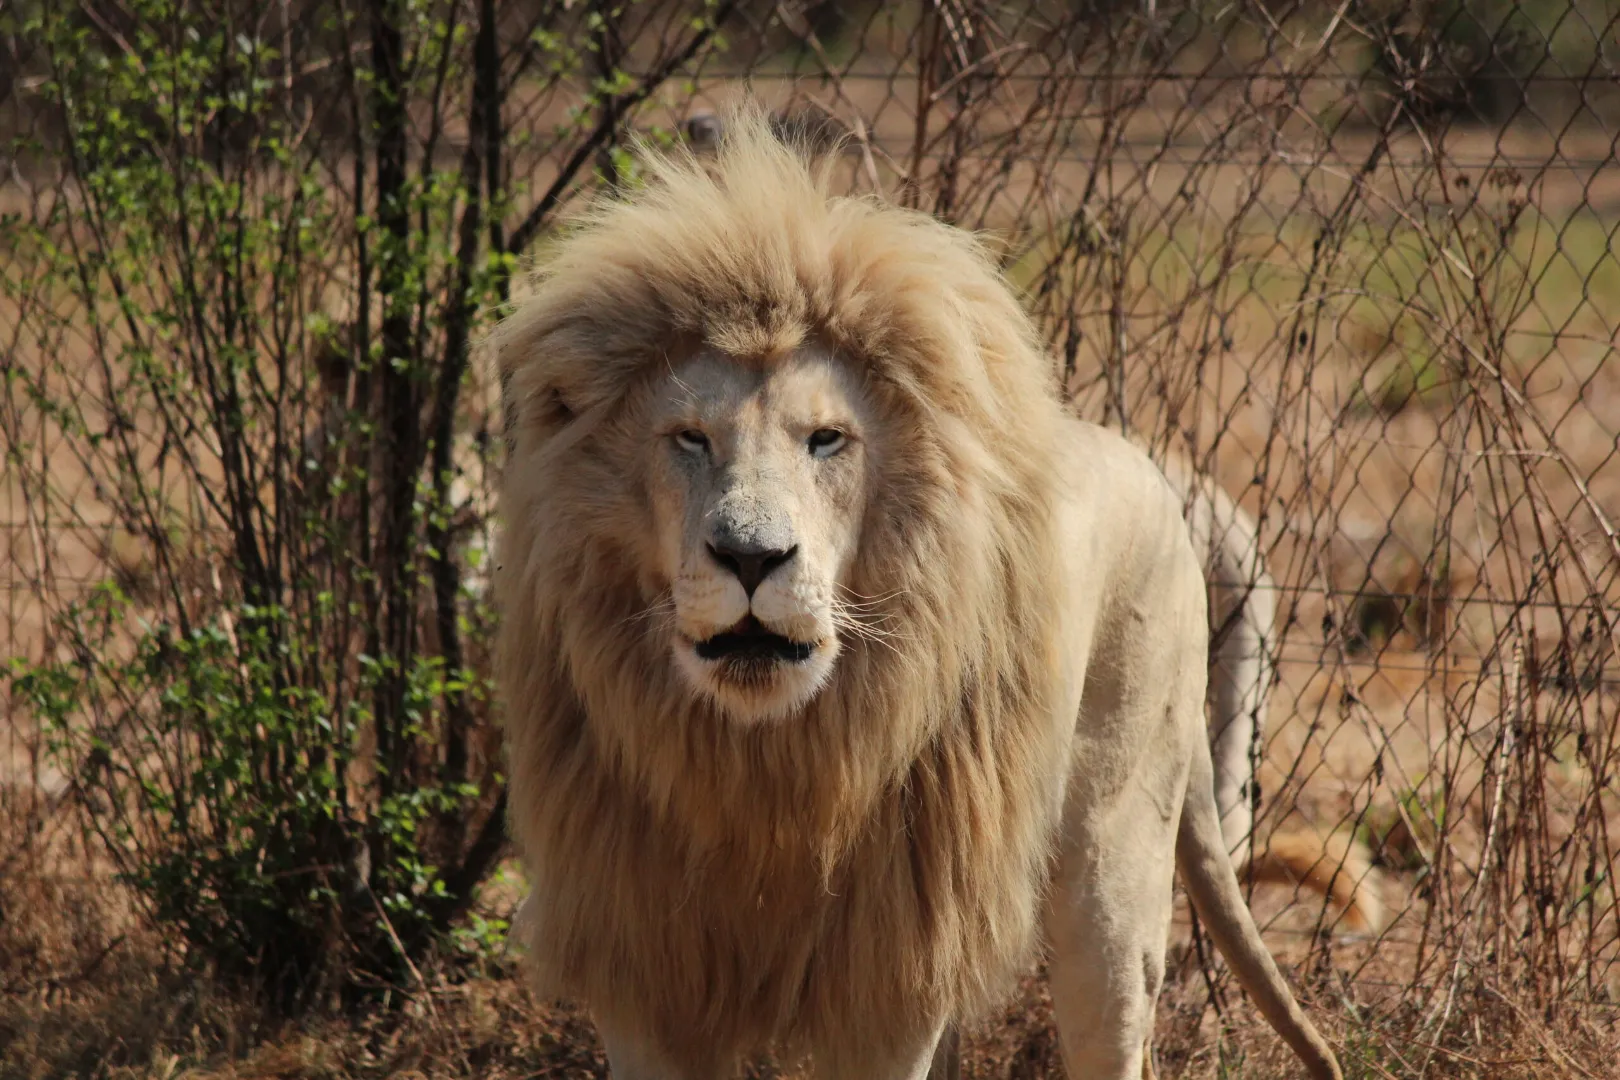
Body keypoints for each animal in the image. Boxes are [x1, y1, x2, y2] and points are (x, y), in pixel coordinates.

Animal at [489, 103, 1343, 1080]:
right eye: (689, 438)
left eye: (826, 439)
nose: (751, 557)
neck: (766, 767)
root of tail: (1160, 474)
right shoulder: (648, 967)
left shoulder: (889, 974)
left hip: (1112, 859)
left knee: (1115, 1011)